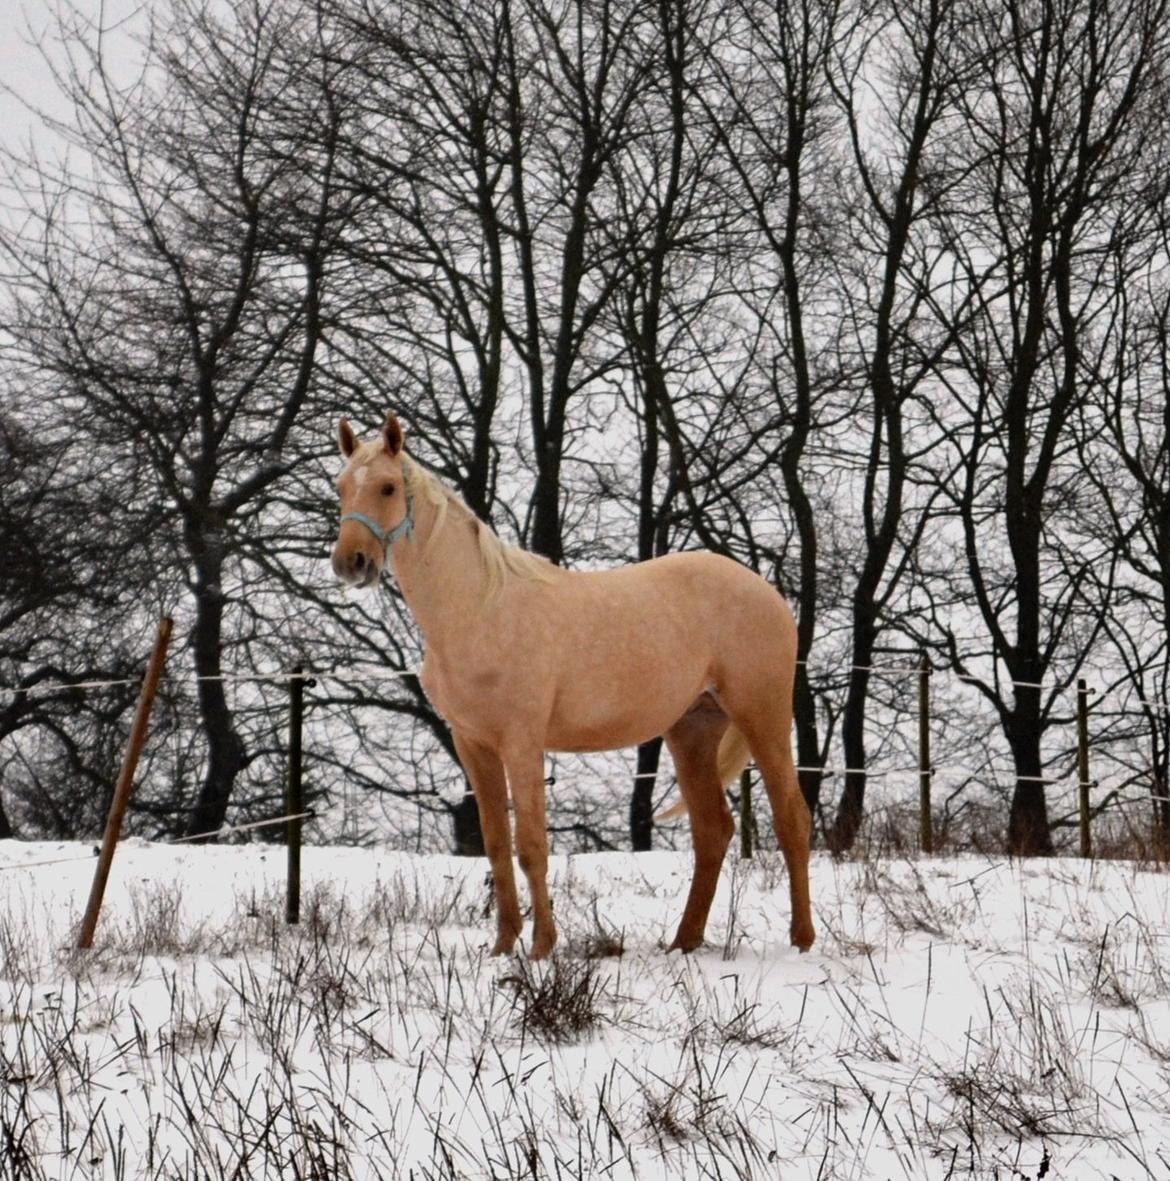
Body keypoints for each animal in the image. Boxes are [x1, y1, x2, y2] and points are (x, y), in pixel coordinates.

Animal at [330, 415, 812, 958]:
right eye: (341, 487)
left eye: (388, 487)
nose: (350, 562)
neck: (479, 609)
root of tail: (767, 593)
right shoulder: (473, 744)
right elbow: (496, 845)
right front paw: (502, 947)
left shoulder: (521, 743)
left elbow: (532, 846)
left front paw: (542, 948)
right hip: (692, 730)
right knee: (713, 830)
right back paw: (683, 942)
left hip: (761, 716)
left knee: (792, 819)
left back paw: (802, 941)